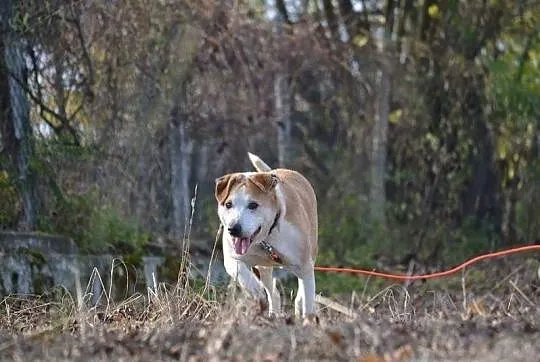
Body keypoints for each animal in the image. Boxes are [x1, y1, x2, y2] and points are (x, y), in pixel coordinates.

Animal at [214, 152, 318, 316]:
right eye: (228, 204)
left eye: (253, 205)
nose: (233, 229)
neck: (268, 237)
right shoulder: (232, 258)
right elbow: (241, 271)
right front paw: (256, 290)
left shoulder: (304, 266)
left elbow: (308, 301)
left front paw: (307, 318)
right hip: (263, 268)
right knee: (273, 292)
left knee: (301, 292)